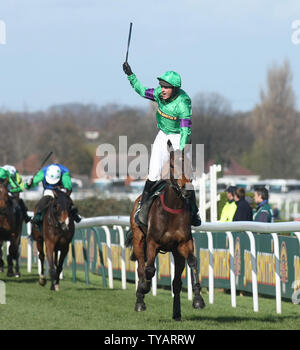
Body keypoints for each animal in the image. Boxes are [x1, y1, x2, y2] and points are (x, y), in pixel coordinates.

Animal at [129, 141, 206, 322]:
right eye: (172, 165)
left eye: (189, 164)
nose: (186, 189)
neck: (172, 208)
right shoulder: (152, 243)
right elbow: (149, 270)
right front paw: (144, 288)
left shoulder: (184, 243)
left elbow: (193, 262)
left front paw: (198, 299)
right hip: (139, 241)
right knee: (141, 268)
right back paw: (140, 300)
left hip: (176, 253)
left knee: (176, 283)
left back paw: (177, 313)